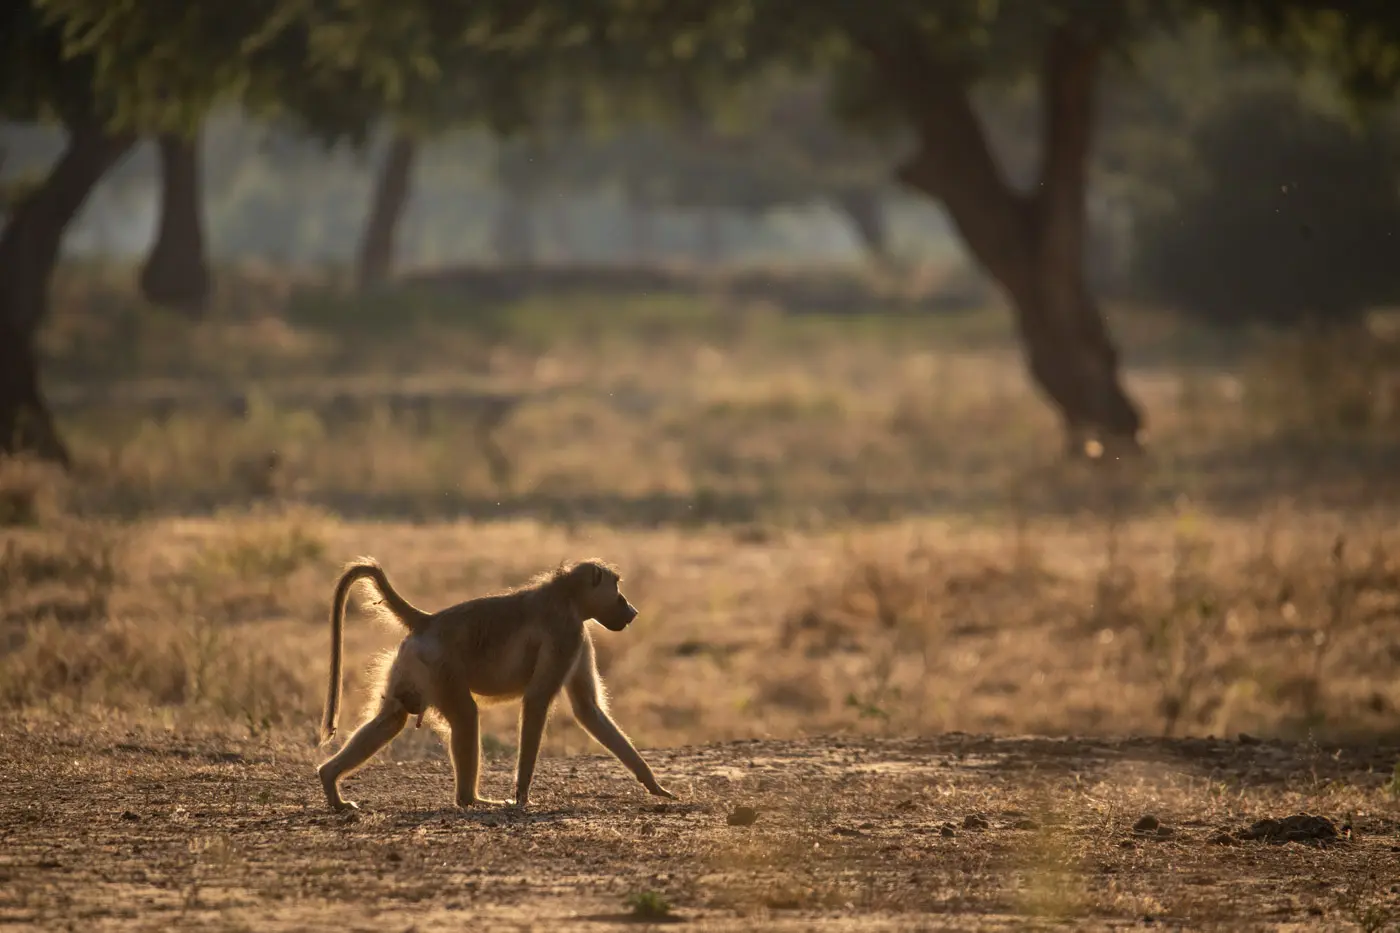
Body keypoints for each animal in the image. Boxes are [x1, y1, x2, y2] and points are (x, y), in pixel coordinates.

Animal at [316, 556, 677, 812]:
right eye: (616, 588)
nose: (631, 610)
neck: (566, 596)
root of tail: (427, 620)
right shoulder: (567, 632)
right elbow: (537, 700)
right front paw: (521, 797)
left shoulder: (579, 635)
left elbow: (588, 709)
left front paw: (654, 785)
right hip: (440, 666)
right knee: (465, 716)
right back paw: (470, 800)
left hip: (412, 664)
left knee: (391, 719)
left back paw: (330, 782)